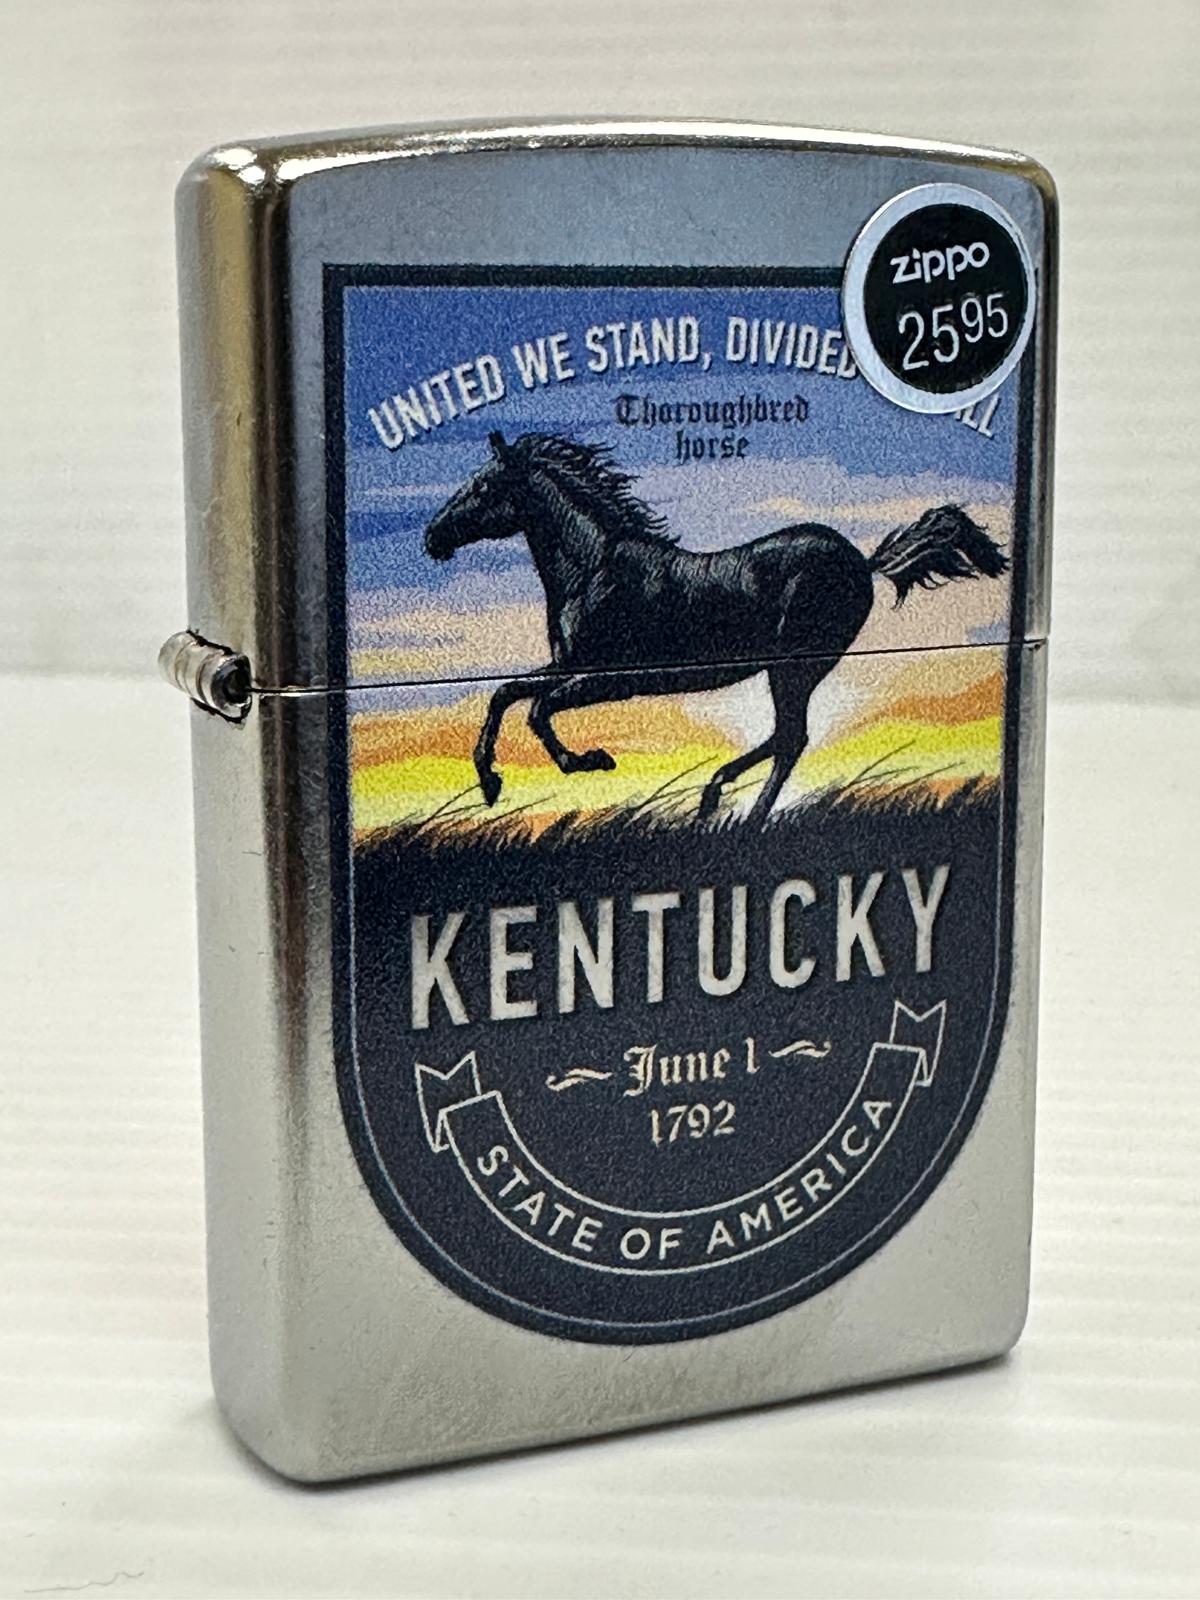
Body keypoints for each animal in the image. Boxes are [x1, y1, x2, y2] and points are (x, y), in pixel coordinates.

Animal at [423, 430, 1008, 826]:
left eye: (484, 486)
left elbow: (538, 709)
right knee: (784, 736)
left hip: (795, 668)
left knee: (792, 738)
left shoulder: (613, 677)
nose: (433, 537)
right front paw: (491, 782)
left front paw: (589, 760)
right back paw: (715, 798)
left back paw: (737, 814)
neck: (594, 567)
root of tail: (863, 563)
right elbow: (506, 694)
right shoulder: (569, 664)